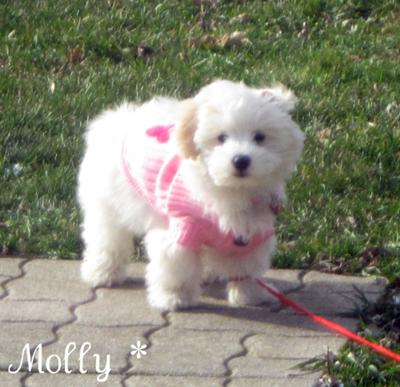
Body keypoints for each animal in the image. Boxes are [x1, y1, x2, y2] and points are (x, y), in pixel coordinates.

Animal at [77, 79, 304, 312]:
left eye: (260, 137)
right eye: (221, 138)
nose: (241, 160)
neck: (233, 191)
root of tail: (118, 118)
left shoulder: (253, 235)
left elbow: (246, 268)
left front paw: (249, 294)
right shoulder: (183, 229)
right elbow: (177, 265)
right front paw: (174, 297)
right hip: (107, 204)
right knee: (107, 240)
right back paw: (102, 273)